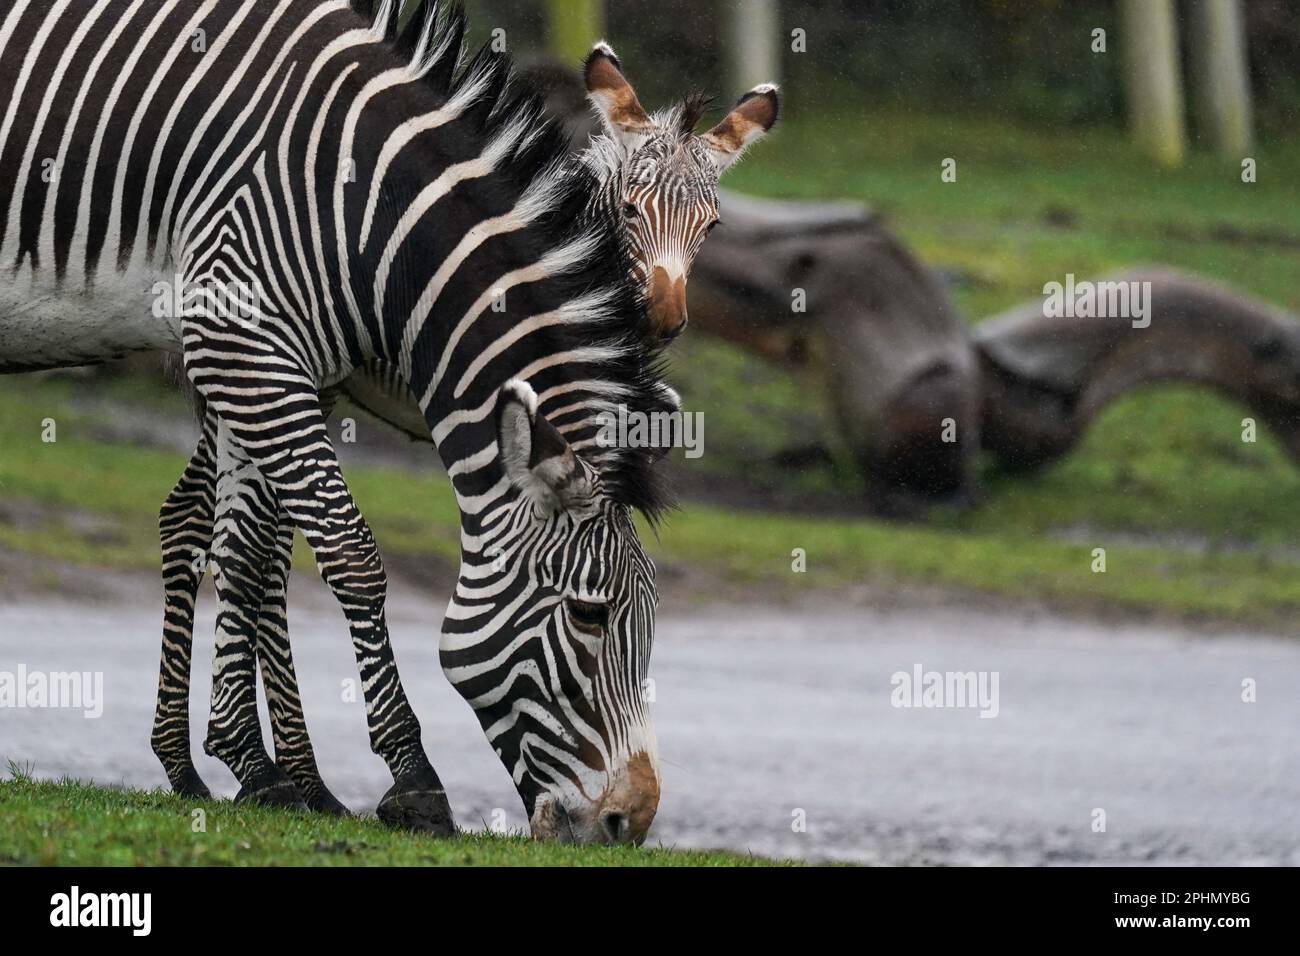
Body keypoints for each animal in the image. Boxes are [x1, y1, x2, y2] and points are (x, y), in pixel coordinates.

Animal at [0, 0, 769, 842]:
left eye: (713, 226)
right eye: (590, 617)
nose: (629, 822)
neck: (359, 201)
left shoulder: (276, 359)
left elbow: (248, 554)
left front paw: (262, 767)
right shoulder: (247, 341)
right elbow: (340, 554)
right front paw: (401, 779)